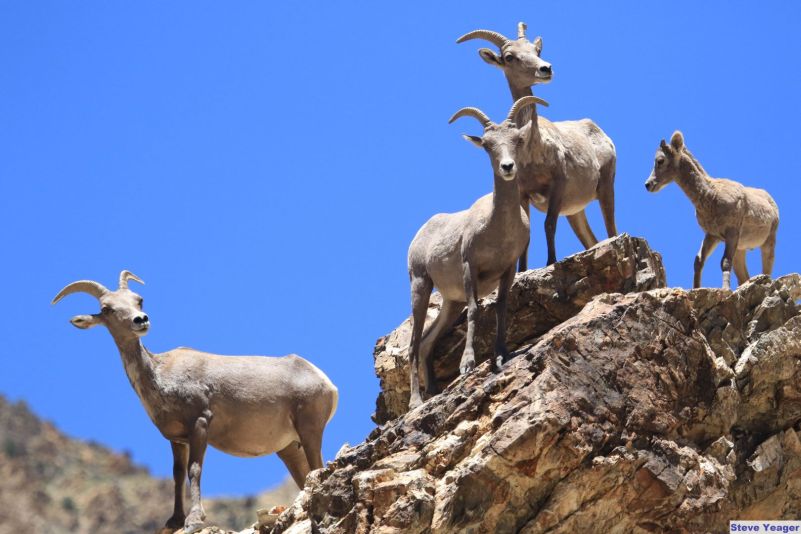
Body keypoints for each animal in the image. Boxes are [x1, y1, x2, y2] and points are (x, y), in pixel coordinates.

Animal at [50, 272, 338, 534]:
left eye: (138, 299)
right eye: (106, 309)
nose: (140, 320)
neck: (161, 376)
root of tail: (325, 381)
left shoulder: (200, 423)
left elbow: (194, 470)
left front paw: (193, 521)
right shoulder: (177, 439)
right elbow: (177, 474)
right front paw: (174, 521)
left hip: (309, 430)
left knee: (316, 467)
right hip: (289, 448)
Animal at [406, 96, 544, 410]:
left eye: (517, 140)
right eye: (487, 145)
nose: (507, 167)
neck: (498, 228)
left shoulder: (508, 269)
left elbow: (501, 307)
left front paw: (501, 355)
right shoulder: (471, 268)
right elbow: (475, 311)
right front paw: (467, 364)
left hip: (449, 303)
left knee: (426, 342)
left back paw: (433, 390)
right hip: (420, 286)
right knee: (413, 343)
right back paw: (416, 402)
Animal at [456, 22, 620, 270]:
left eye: (537, 50)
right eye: (509, 57)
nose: (545, 69)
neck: (534, 151)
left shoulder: (558, 185)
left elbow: (549, 224)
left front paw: (550, 262)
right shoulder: (523, 193)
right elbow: (527, 237)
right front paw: (523, 271)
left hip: (606, 188)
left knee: (612, 230)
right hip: (575, 212)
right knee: (592, 240)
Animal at [644, 132, 780, 292]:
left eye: (660, 160)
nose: (648, 184)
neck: (710, 195)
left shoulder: (731, 232)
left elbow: (725, 262)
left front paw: (725, 289)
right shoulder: (712, 235)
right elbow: (698, 261)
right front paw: (696, 289)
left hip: (768, 241)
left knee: (767, 267)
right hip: (740, 249)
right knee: (743, 277)